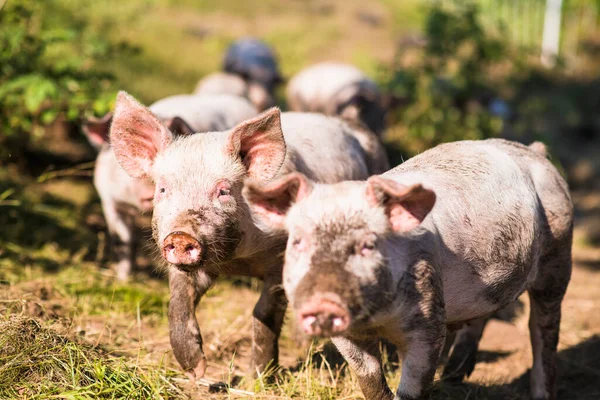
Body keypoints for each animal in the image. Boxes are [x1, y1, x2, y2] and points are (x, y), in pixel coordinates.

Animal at [108, 90, 390, 382]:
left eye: (223, 191)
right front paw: (197, 370)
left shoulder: (281, 259)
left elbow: (264, 312)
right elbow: (178, 304)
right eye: (163, 189)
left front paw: (257, 378)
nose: (181, 235)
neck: (239, 261)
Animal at [244, 138, 572, 400]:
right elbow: (369, 377)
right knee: (483, 317)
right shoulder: (346, 336)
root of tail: (533, 151)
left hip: (558, 256)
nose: (324, 299)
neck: (377, 318)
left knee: (543, 333)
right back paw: (454, 375)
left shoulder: (428, 319)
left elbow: (414, 387)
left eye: (368, 245)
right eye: (298, 241)